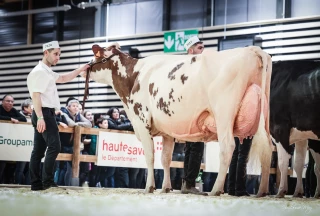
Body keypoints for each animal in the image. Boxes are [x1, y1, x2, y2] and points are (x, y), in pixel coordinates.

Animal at [85, 43, 272, 197]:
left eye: (96, 55)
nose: (86, 66)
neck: (134, 76)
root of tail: (252, 49)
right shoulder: (167, 130)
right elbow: (166, 158)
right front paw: (166, 187)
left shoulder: (141, 122)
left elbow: (150, 156)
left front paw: (149, 187)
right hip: (264, 117)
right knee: (268, 151)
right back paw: (262, 191)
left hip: (224, 113)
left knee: (227, 148)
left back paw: (216, 190)